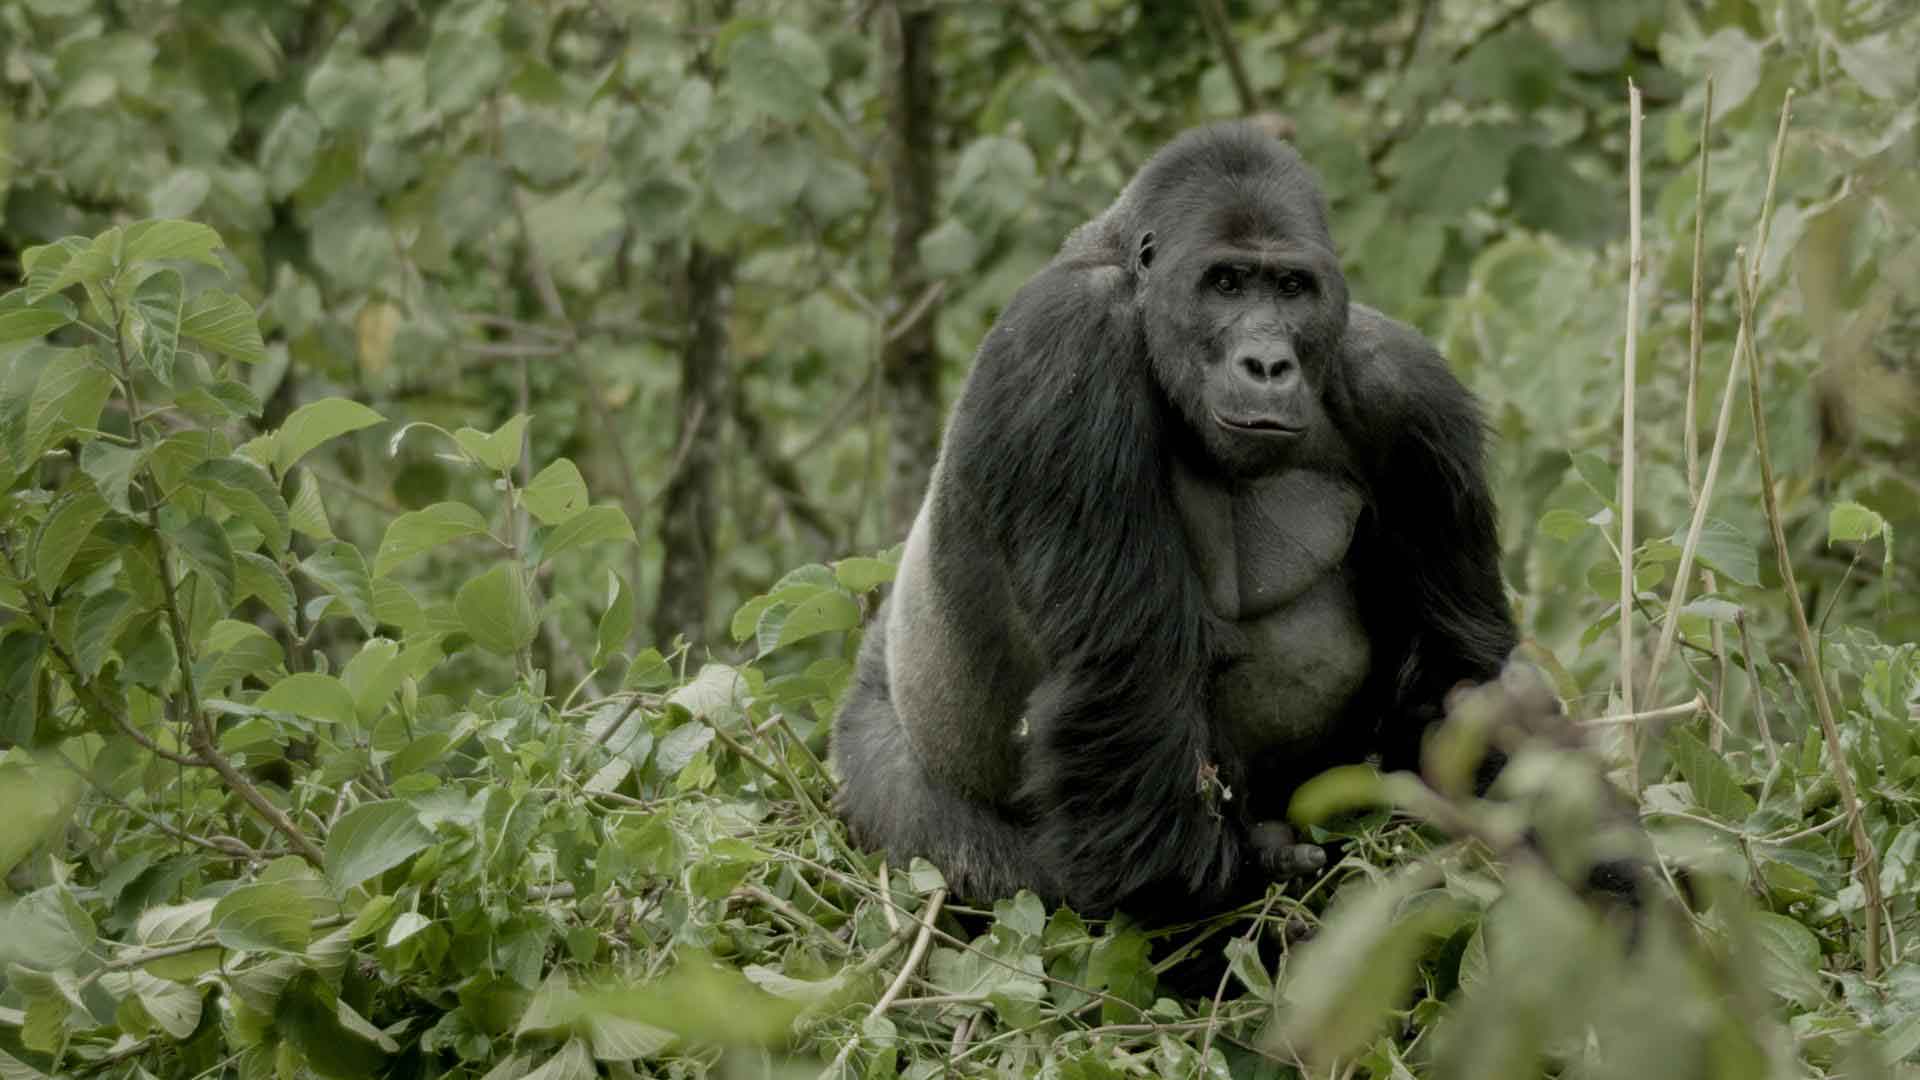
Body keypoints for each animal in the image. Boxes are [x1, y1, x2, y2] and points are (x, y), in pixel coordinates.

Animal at [833, 125, 1520, 914]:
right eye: (1225, 283)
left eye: (1291, 288)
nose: (1267, 365)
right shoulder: (1067, 345)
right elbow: (1128, 696)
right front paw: (1241, 874)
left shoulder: (1409, 393)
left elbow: (1458, 667)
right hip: (888, 769)